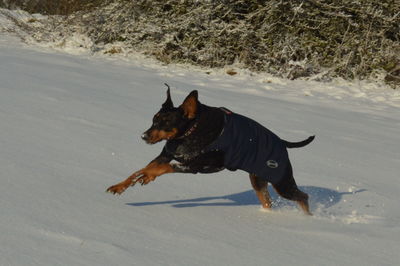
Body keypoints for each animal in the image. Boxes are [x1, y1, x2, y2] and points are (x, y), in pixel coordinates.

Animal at [107, 86, 316, 215]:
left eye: (165, 123)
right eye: (154, 120)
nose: (144, 136)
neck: (191, 130)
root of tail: (282, 142)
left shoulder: (195, 166)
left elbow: (161, 169)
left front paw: (148, 176)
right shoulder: (166, 155)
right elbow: (140, 170)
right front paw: (120, 186)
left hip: (281, 181)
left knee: (303, 196)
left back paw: (308, 218)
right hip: (258, 180)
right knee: (268, 201)